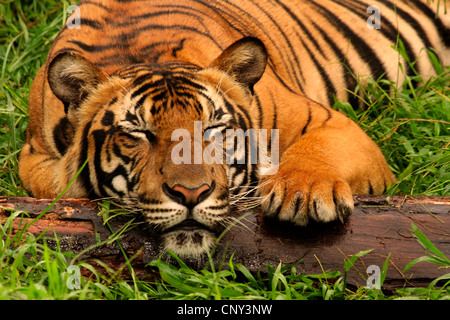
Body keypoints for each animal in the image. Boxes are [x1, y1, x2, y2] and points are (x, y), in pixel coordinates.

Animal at [17, 0, 446, 256]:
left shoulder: (329, 121)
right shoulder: (34, 156)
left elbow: (314, 151)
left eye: (212, 129)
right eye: (139, 133)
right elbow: (58, 186)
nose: (191, 195)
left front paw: (303, 192)